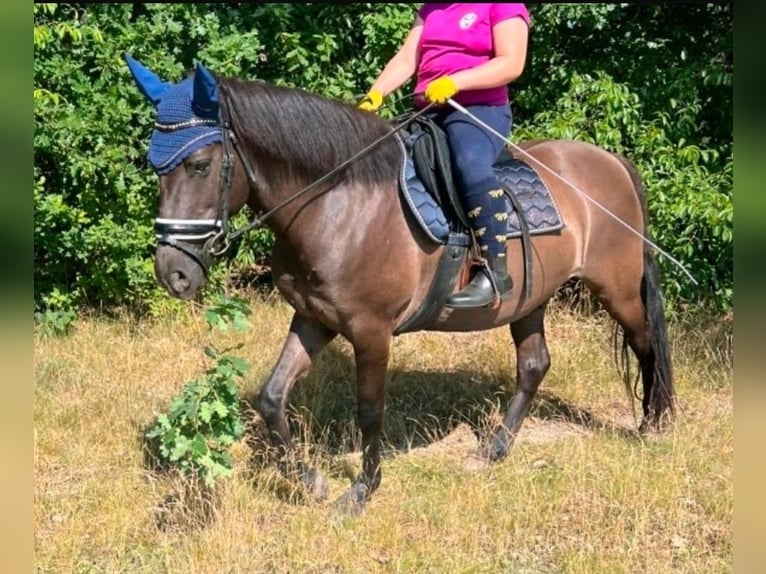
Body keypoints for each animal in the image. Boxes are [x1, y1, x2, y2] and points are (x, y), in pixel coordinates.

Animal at [125, 56, 675, 515]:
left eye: (199, 165)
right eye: (155, 167)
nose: (172, 273)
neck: (339, 206)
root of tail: (611, 162)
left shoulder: (372, 331)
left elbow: (370, 411)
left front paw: (361, 492)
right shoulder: (313, 318)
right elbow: (272, 398)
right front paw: (311, 482)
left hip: (617, 288)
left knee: (645, 342)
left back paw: (653, 424)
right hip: (529, 299)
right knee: (534, 365)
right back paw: (496, 449)